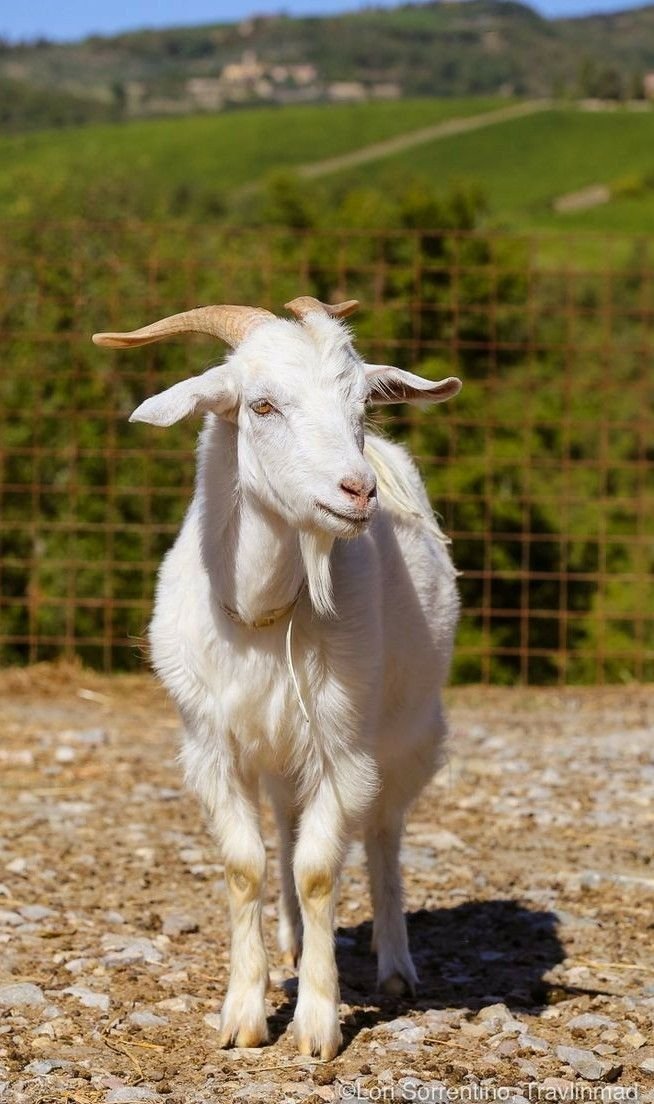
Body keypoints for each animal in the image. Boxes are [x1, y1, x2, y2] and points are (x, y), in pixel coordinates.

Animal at [92, 297, 461, 1060]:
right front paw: (243, 1014)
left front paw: (318, 1024)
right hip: (282, 750)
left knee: (383, 834)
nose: (358, 490)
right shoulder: (212, 746)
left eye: (361, 407)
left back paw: (394, 967)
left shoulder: (343, 749)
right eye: (261, 405)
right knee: (289, 828)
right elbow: (247, 865)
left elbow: (320, 870)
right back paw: (291, 941)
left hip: (409, 732)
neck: (262, 615)